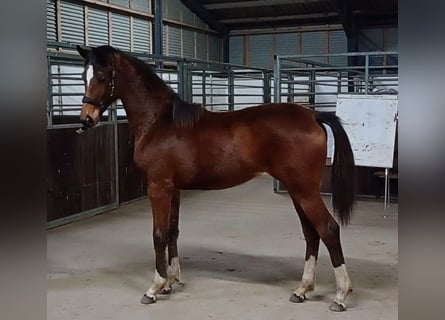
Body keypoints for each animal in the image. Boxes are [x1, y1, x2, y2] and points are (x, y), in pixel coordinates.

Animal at [75, 43, 354, 312]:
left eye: (101, 76)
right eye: (82, 75)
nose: (86, 119)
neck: (159, 122)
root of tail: (313, 116)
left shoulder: (158, 187)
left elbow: (158, 234)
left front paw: (155, 287)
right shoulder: (174, 188)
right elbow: (173, 231)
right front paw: (171, 282)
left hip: (305, 192)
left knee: (328, 229)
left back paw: (341, 295)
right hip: (297, 191)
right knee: (311, 233)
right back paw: (302, 290)